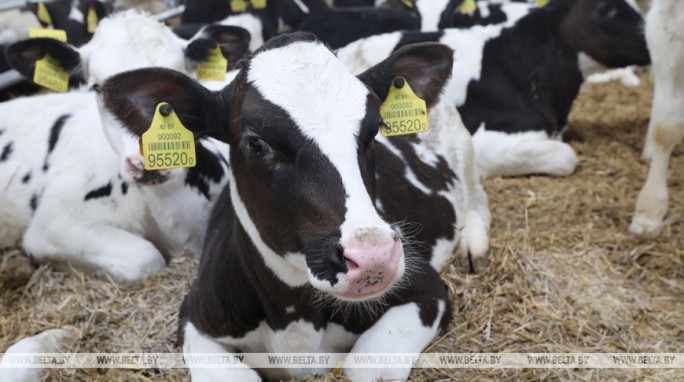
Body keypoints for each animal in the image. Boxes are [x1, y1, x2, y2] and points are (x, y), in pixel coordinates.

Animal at [100, 34, 492, 380]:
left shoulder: (426, 289)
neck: (294, 319)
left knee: (477, 201)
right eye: (256, 144)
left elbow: (367, 367)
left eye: (375, 129)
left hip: (465, 152)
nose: (373, 256)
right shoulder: (197, 318)